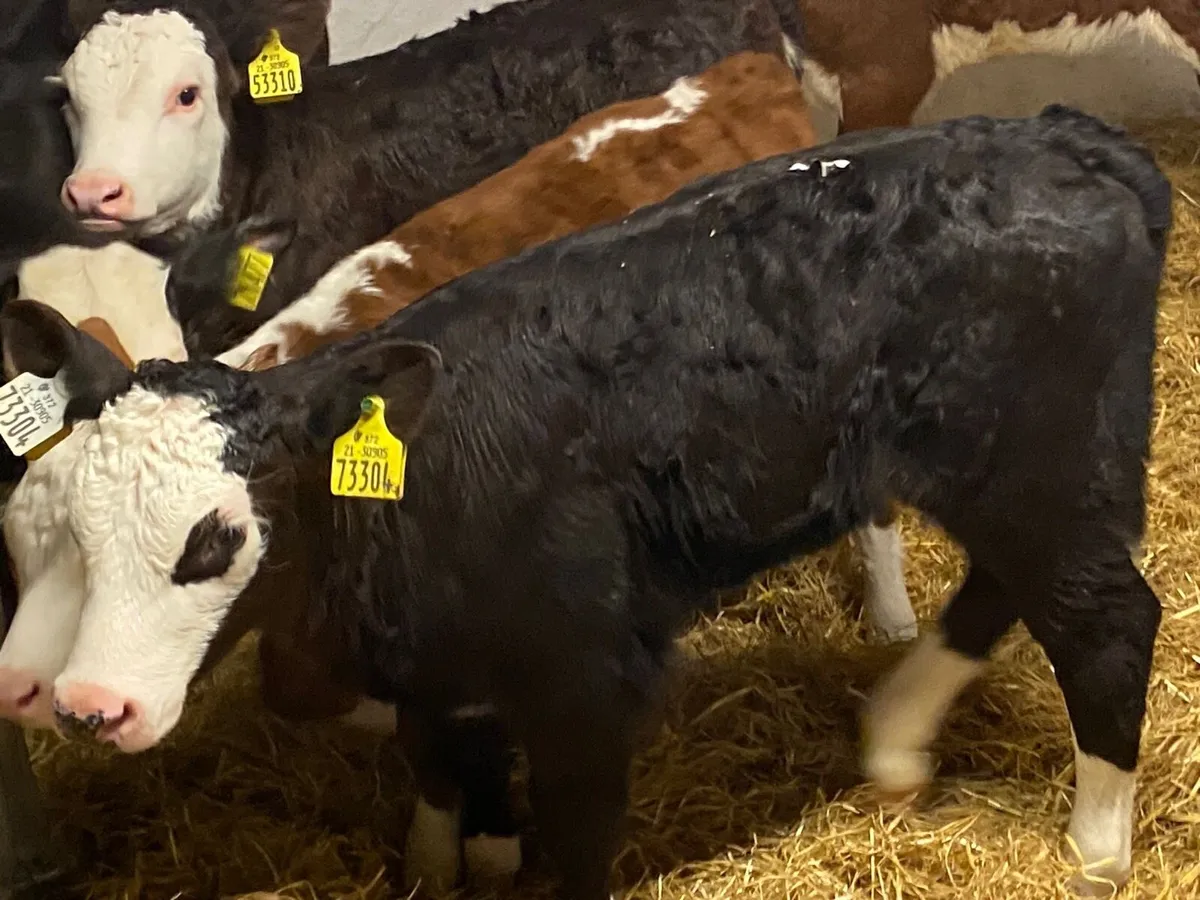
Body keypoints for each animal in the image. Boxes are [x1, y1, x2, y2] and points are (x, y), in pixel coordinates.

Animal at [0, 106, 1169, 898]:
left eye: (217, 541)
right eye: (68, 532)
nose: (91, 706)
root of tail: (1073, 141)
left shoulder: (589, 682)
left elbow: (569, 843)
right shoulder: (441, 673)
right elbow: (446, 778)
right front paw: (450, 858)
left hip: (1046, 458)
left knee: (1106, 619)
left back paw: (1093, 853)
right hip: (1018, 472)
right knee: (1010, 586)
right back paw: (893, 734)